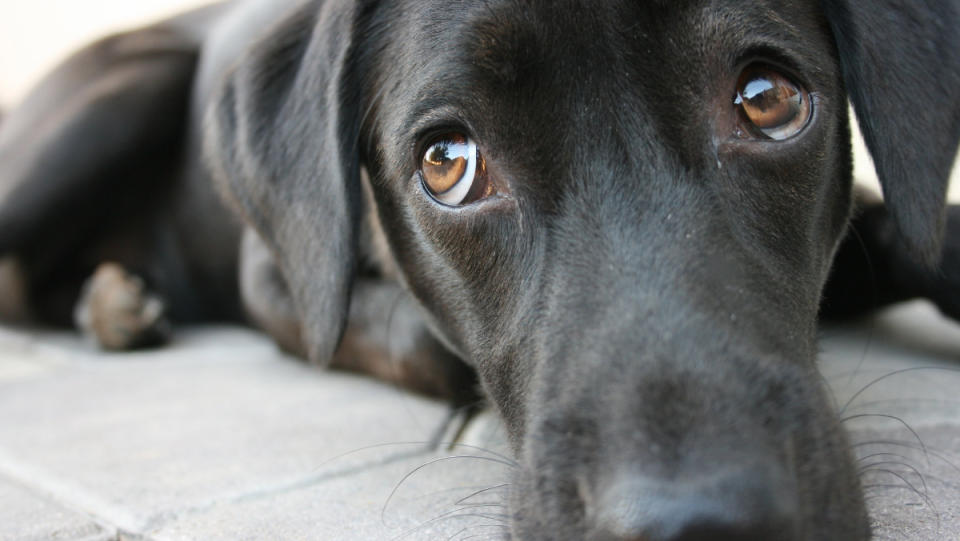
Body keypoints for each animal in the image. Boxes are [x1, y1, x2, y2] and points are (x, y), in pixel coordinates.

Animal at [1, 1, 960, 540]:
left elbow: (926, 235)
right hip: (126, 95)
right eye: (446, 163)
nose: (704, 520)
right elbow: (429, 346)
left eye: (768, 99)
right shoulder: (273, 278)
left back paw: (113, 300)